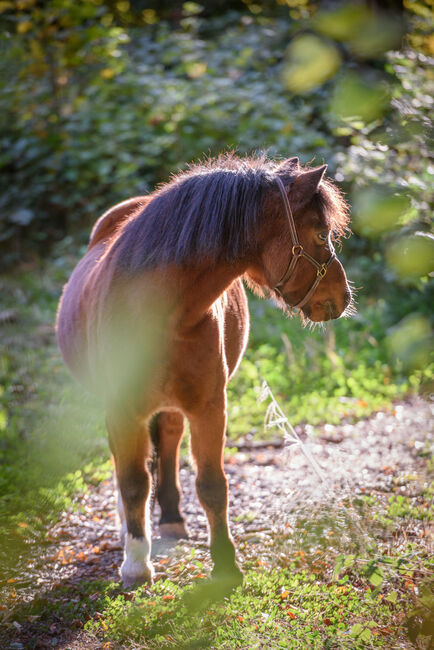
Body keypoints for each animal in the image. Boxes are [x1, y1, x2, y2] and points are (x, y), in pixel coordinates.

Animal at [56, 153, 350, 588]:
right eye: (319, 233)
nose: (343, 297)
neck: (160, 315)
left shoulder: (210, 407)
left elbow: (212, 485)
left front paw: (226, 565)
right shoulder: (122, 410)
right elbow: (133, 482)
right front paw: (136, 565)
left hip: (174, 407)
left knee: (169, 444)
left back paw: (171, 519)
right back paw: (130, 531)